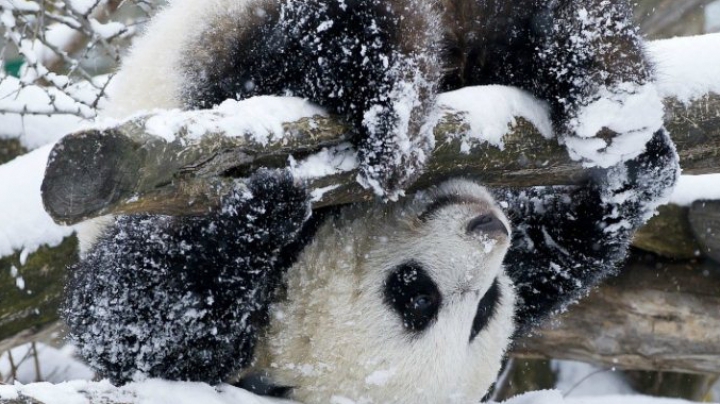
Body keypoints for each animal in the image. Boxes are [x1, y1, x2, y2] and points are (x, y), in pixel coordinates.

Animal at [62, 0, 680, 402]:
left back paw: (604, 90)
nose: (489, 230)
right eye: (418, 296)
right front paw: (267, 204)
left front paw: (630, 177)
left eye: (484, 310)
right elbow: (132, 319)